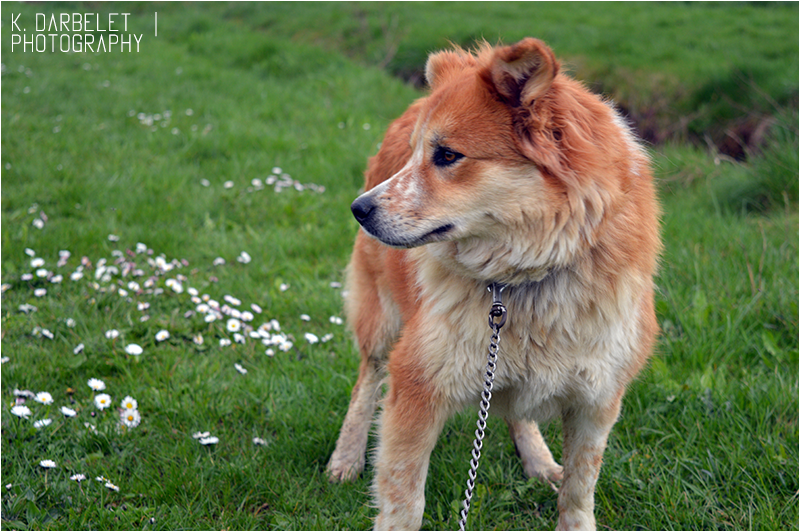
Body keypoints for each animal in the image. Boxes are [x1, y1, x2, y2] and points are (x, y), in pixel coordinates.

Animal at [328, 35, 660, 528]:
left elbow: (579, 490)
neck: (524, 279)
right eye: (414, 154)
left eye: (447, 156)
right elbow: (405, 500)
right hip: (383, 318)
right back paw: (345, 456)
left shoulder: (597, 401)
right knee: (366, 381)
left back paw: (538, 458)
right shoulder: (417, 382)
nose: (358, 209)